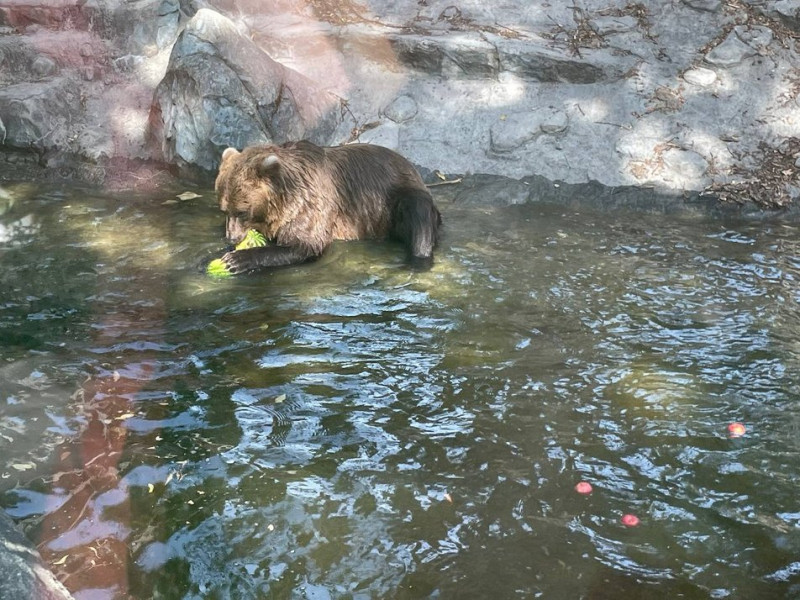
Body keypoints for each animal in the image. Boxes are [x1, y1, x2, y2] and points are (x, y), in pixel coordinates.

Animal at [212, 138, 440, 272]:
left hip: (397, 197)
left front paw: (235, 259)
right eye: (224, 210)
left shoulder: (310, 203)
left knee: (418, 217)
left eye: (242, 211)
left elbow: (306, 243)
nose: (231, 237)